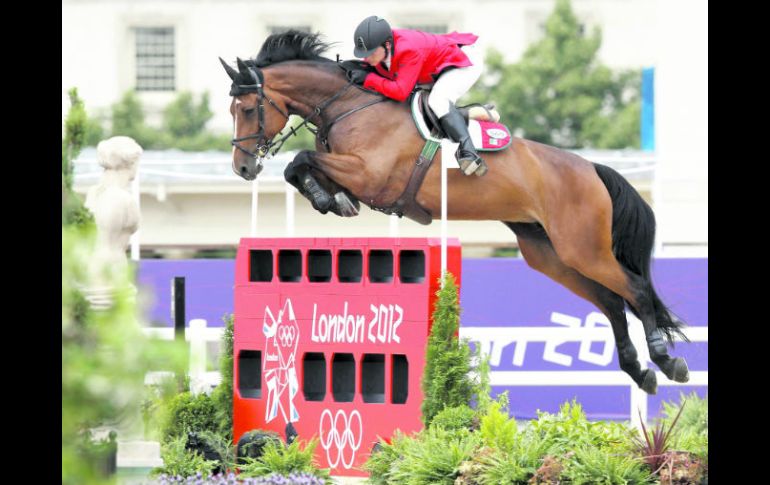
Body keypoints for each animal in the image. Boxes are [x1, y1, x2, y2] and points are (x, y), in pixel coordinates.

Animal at [219, 30, 688, 394]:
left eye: (248, 109)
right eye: (232, 110)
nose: (242, 169)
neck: (347, 103)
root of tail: (591, 168)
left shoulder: (371, 174)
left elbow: (300, 159)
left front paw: (325, 198)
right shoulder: (351, 172)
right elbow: (302, 168)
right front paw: (330, 201)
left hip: (582, 247)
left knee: (635, 289)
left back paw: (666, 361)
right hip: (550, 254)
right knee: (610, 301)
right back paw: (639, 371)